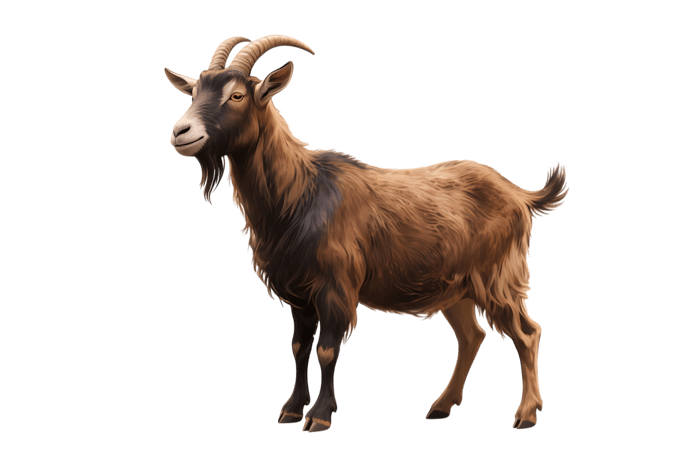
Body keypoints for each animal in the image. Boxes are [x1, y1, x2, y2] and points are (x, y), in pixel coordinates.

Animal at [164, 34, 569, 433]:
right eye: (193, 92)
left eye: (237, 95)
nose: (181, 132)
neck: (300, 194)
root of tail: (517, 193)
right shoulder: (296, 292)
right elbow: (298, 347)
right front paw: (292, 409)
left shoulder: (335, 286)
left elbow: (327, 349)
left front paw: (319, 416)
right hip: (457, 287)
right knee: (472, 336)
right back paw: (441, 406)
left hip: (497, 276)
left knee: (526, 333)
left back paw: (526, 414)